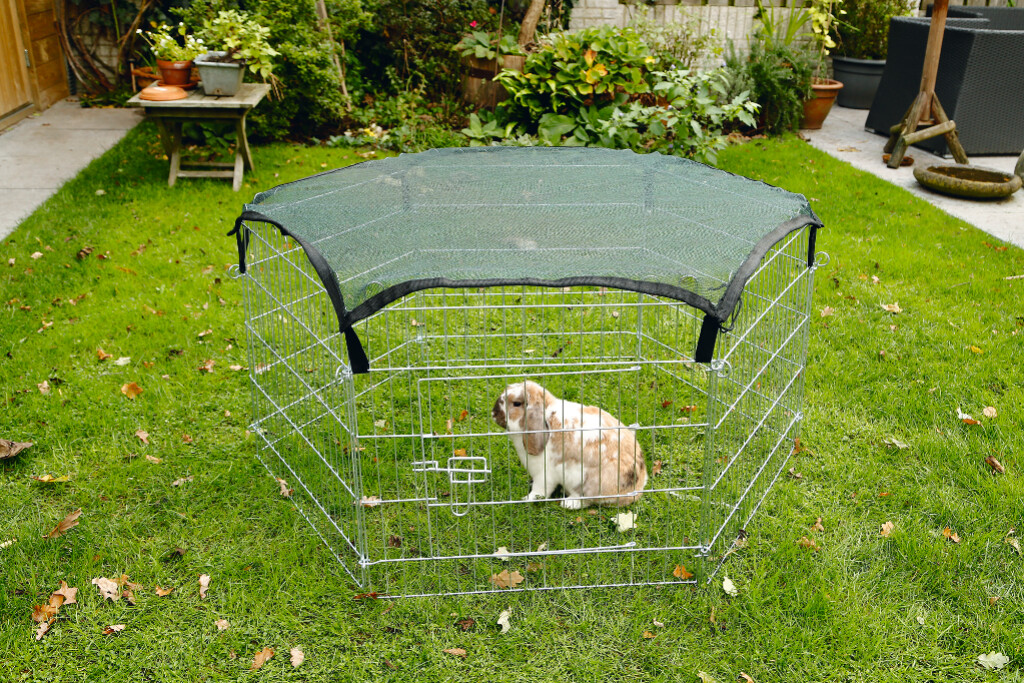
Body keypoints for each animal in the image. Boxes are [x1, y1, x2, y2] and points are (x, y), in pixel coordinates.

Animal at [491, 381, 646, 509]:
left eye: (516, 403)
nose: (493, 413)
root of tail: (635, 490)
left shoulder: (545, 473)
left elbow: (539, 490)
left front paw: (527, 499)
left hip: (588, 483)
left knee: (586, 500)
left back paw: (568, 503)